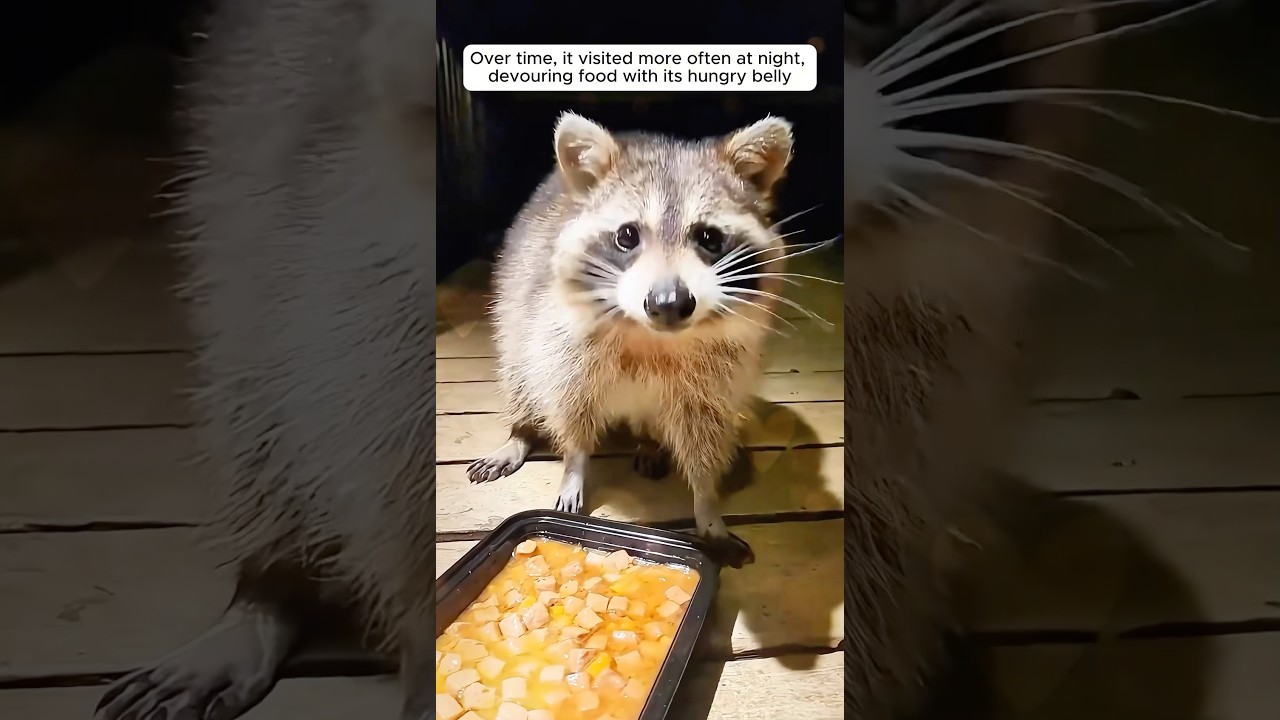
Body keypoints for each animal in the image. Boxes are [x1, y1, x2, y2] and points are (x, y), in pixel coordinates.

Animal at [465, 112, 800, 569]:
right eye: (627, 235)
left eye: (709, 238)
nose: (669, 303)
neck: (651, 336)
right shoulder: (560, 338)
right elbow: (569, 408)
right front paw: (574, 466)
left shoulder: (717, 373)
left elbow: (705, 432)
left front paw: (707, 505)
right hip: (517, 315)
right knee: (521, 371)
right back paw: (521, 431)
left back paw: (649, 441)